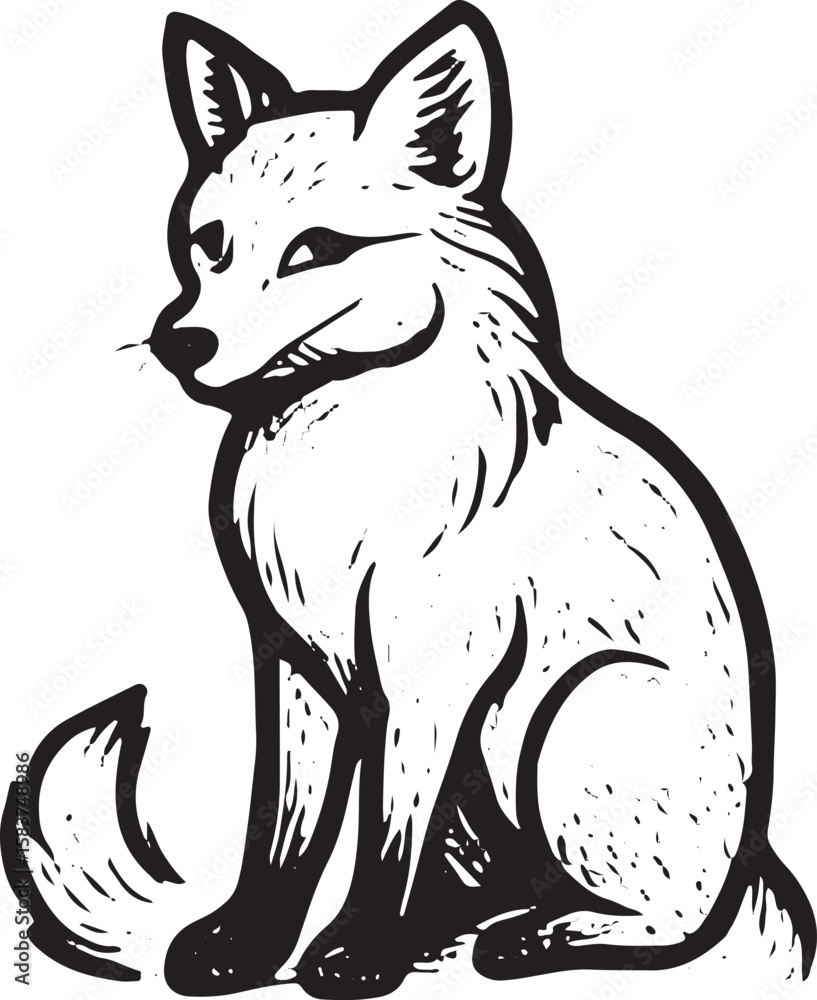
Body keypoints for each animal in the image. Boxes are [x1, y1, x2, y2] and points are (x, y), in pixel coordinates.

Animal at [3, 3, 815, 998]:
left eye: (316, 249)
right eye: (210, 244)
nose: (181, 342)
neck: (352, 466)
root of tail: (754, 865)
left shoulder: (427, 675)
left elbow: (386, 837)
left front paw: (353, 955)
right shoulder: (297, 666)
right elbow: (283, 835)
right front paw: (247, 945)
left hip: (574, 715)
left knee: (674, 920)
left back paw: (538, 936)